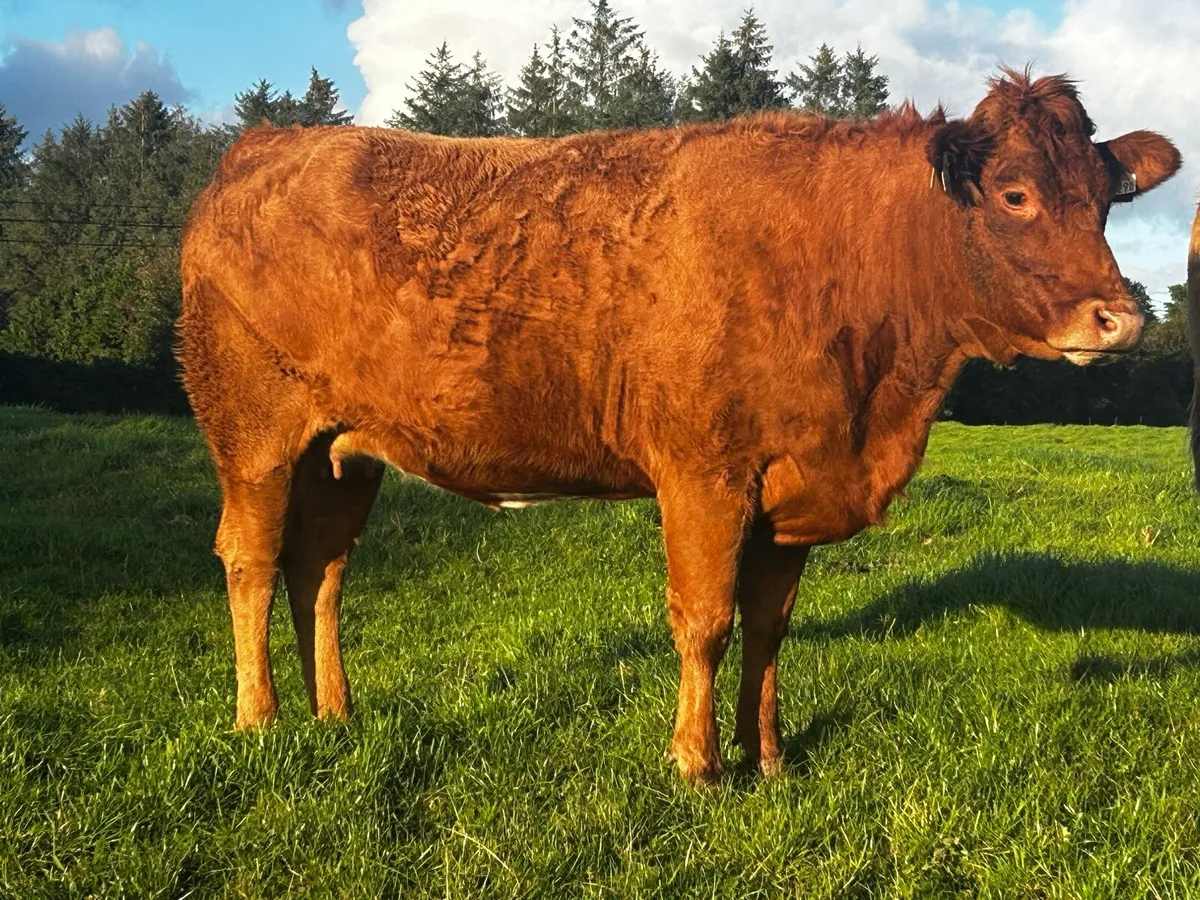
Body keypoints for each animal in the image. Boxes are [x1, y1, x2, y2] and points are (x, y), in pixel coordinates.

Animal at [178, 68, 1180, 783]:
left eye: (1107, 198)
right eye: (1014, 194)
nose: (1118, 318)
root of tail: (271, 142)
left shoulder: (791, 486)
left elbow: (769, 626)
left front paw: (767, 757)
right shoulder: (705, 472)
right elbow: (704, 620)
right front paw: (695, 763)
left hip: (345, 451)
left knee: (321, 569)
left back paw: (336, 714)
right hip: (253, 432)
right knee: (250, 559)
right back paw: (261, 721)